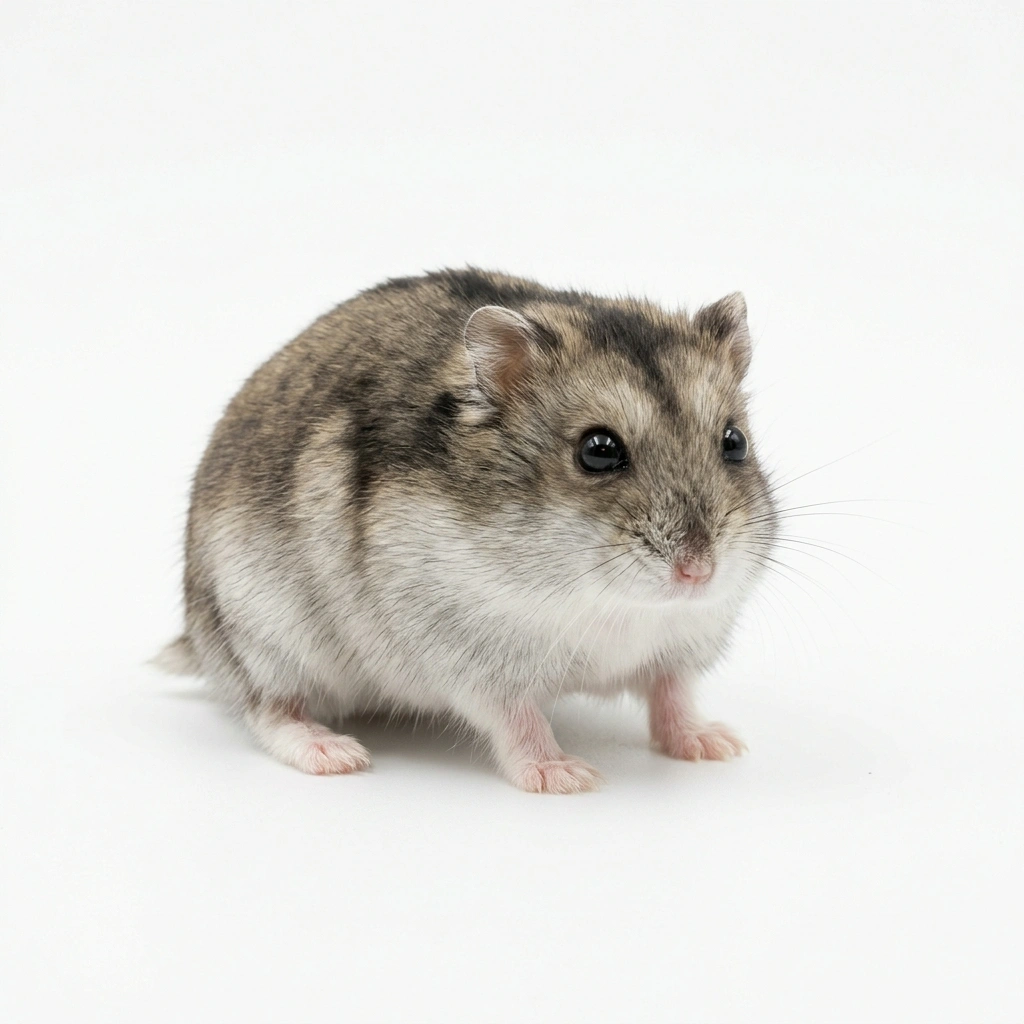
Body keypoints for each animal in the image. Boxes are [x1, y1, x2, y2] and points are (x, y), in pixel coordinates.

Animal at [156, 268, 777, 793]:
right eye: (598, 451)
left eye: (734, 441)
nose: (698, 573)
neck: (611, 604)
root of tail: (198, 638)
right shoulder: (474, 660)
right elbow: (518, 719)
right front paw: (567, 777)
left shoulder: (680, 645)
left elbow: (673, 695)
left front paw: (718, 745)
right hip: (265, 639)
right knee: (269, 709)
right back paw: (336, 754)